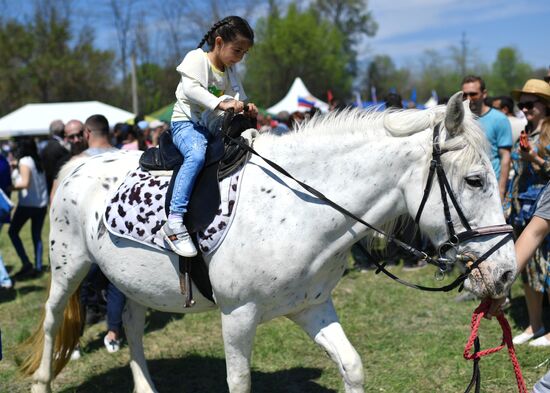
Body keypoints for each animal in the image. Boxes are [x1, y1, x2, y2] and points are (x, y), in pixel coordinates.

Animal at [23, 92, 520, 392]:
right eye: (475, 180)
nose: (506, 272)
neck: (301, 209)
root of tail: (77, 163)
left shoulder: (311, 307)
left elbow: (352, 365)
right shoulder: (238, 316)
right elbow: (239, 383)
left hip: (132, 281)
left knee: (130, 323)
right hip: (69, 266)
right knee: (51, 318)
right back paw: (41, 380)